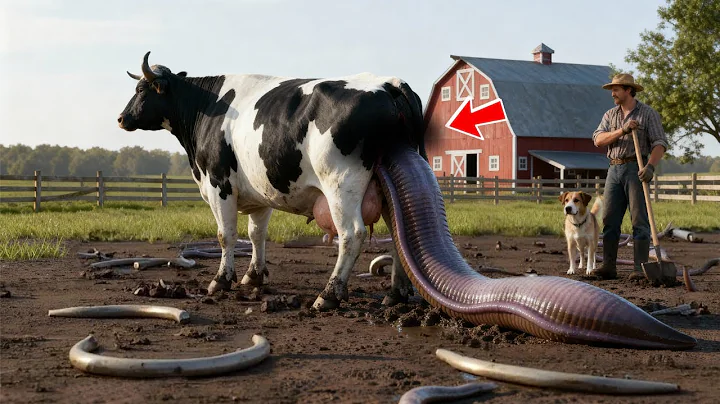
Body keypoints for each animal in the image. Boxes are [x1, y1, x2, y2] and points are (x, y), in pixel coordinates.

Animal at [118, 52, 426, 310]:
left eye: (141, 90)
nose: (121, 118)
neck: (206, 107)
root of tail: (388, 83)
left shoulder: (219, 183)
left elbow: (226, 235)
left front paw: (221, 280)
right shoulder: (260, 191)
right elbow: (256, 234)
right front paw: (254, 275)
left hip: (342, 183)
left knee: (352, 234)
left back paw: (329, 294)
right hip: (386, 187)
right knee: (398, 233)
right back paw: (395, 293)